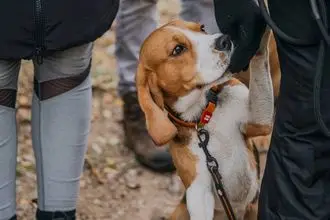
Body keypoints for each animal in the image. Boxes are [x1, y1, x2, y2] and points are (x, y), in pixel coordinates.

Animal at [136, 19, 278, 219]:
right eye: (177, 49)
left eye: (201, 28)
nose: (225, 40)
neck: (203, 118)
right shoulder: (198, 190)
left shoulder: (259, 119)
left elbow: (260, 60)